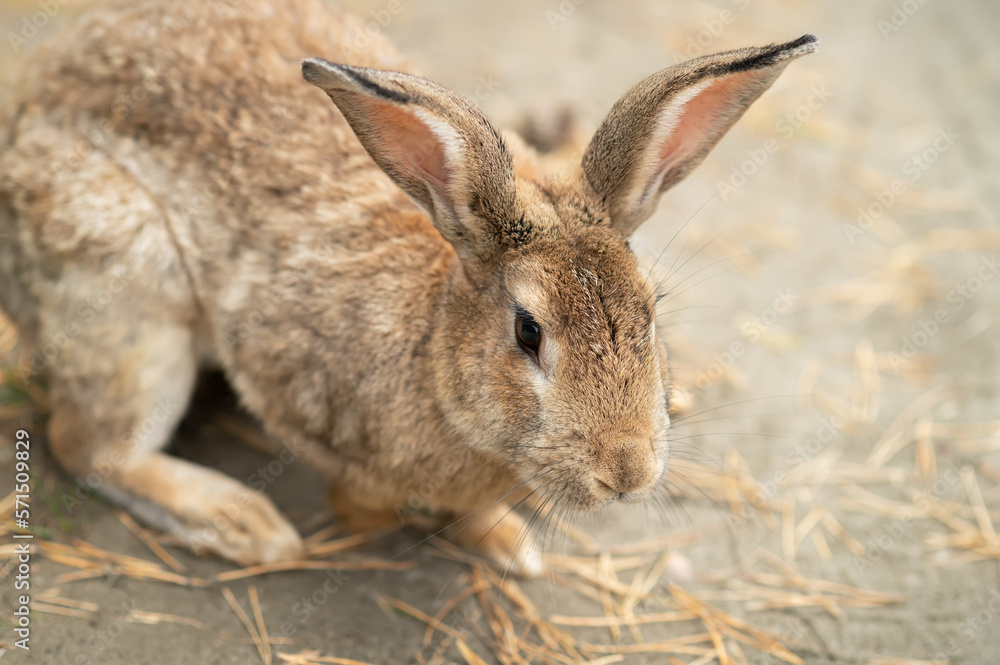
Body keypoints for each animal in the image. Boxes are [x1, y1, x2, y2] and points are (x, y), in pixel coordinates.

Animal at [0, 0, 816, 574]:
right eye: (528, 332)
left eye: (651, 313)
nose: (628, 472)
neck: (434, 350)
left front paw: (507, 544)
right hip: (127, 287)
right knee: (89, 446)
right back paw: (241, 522)